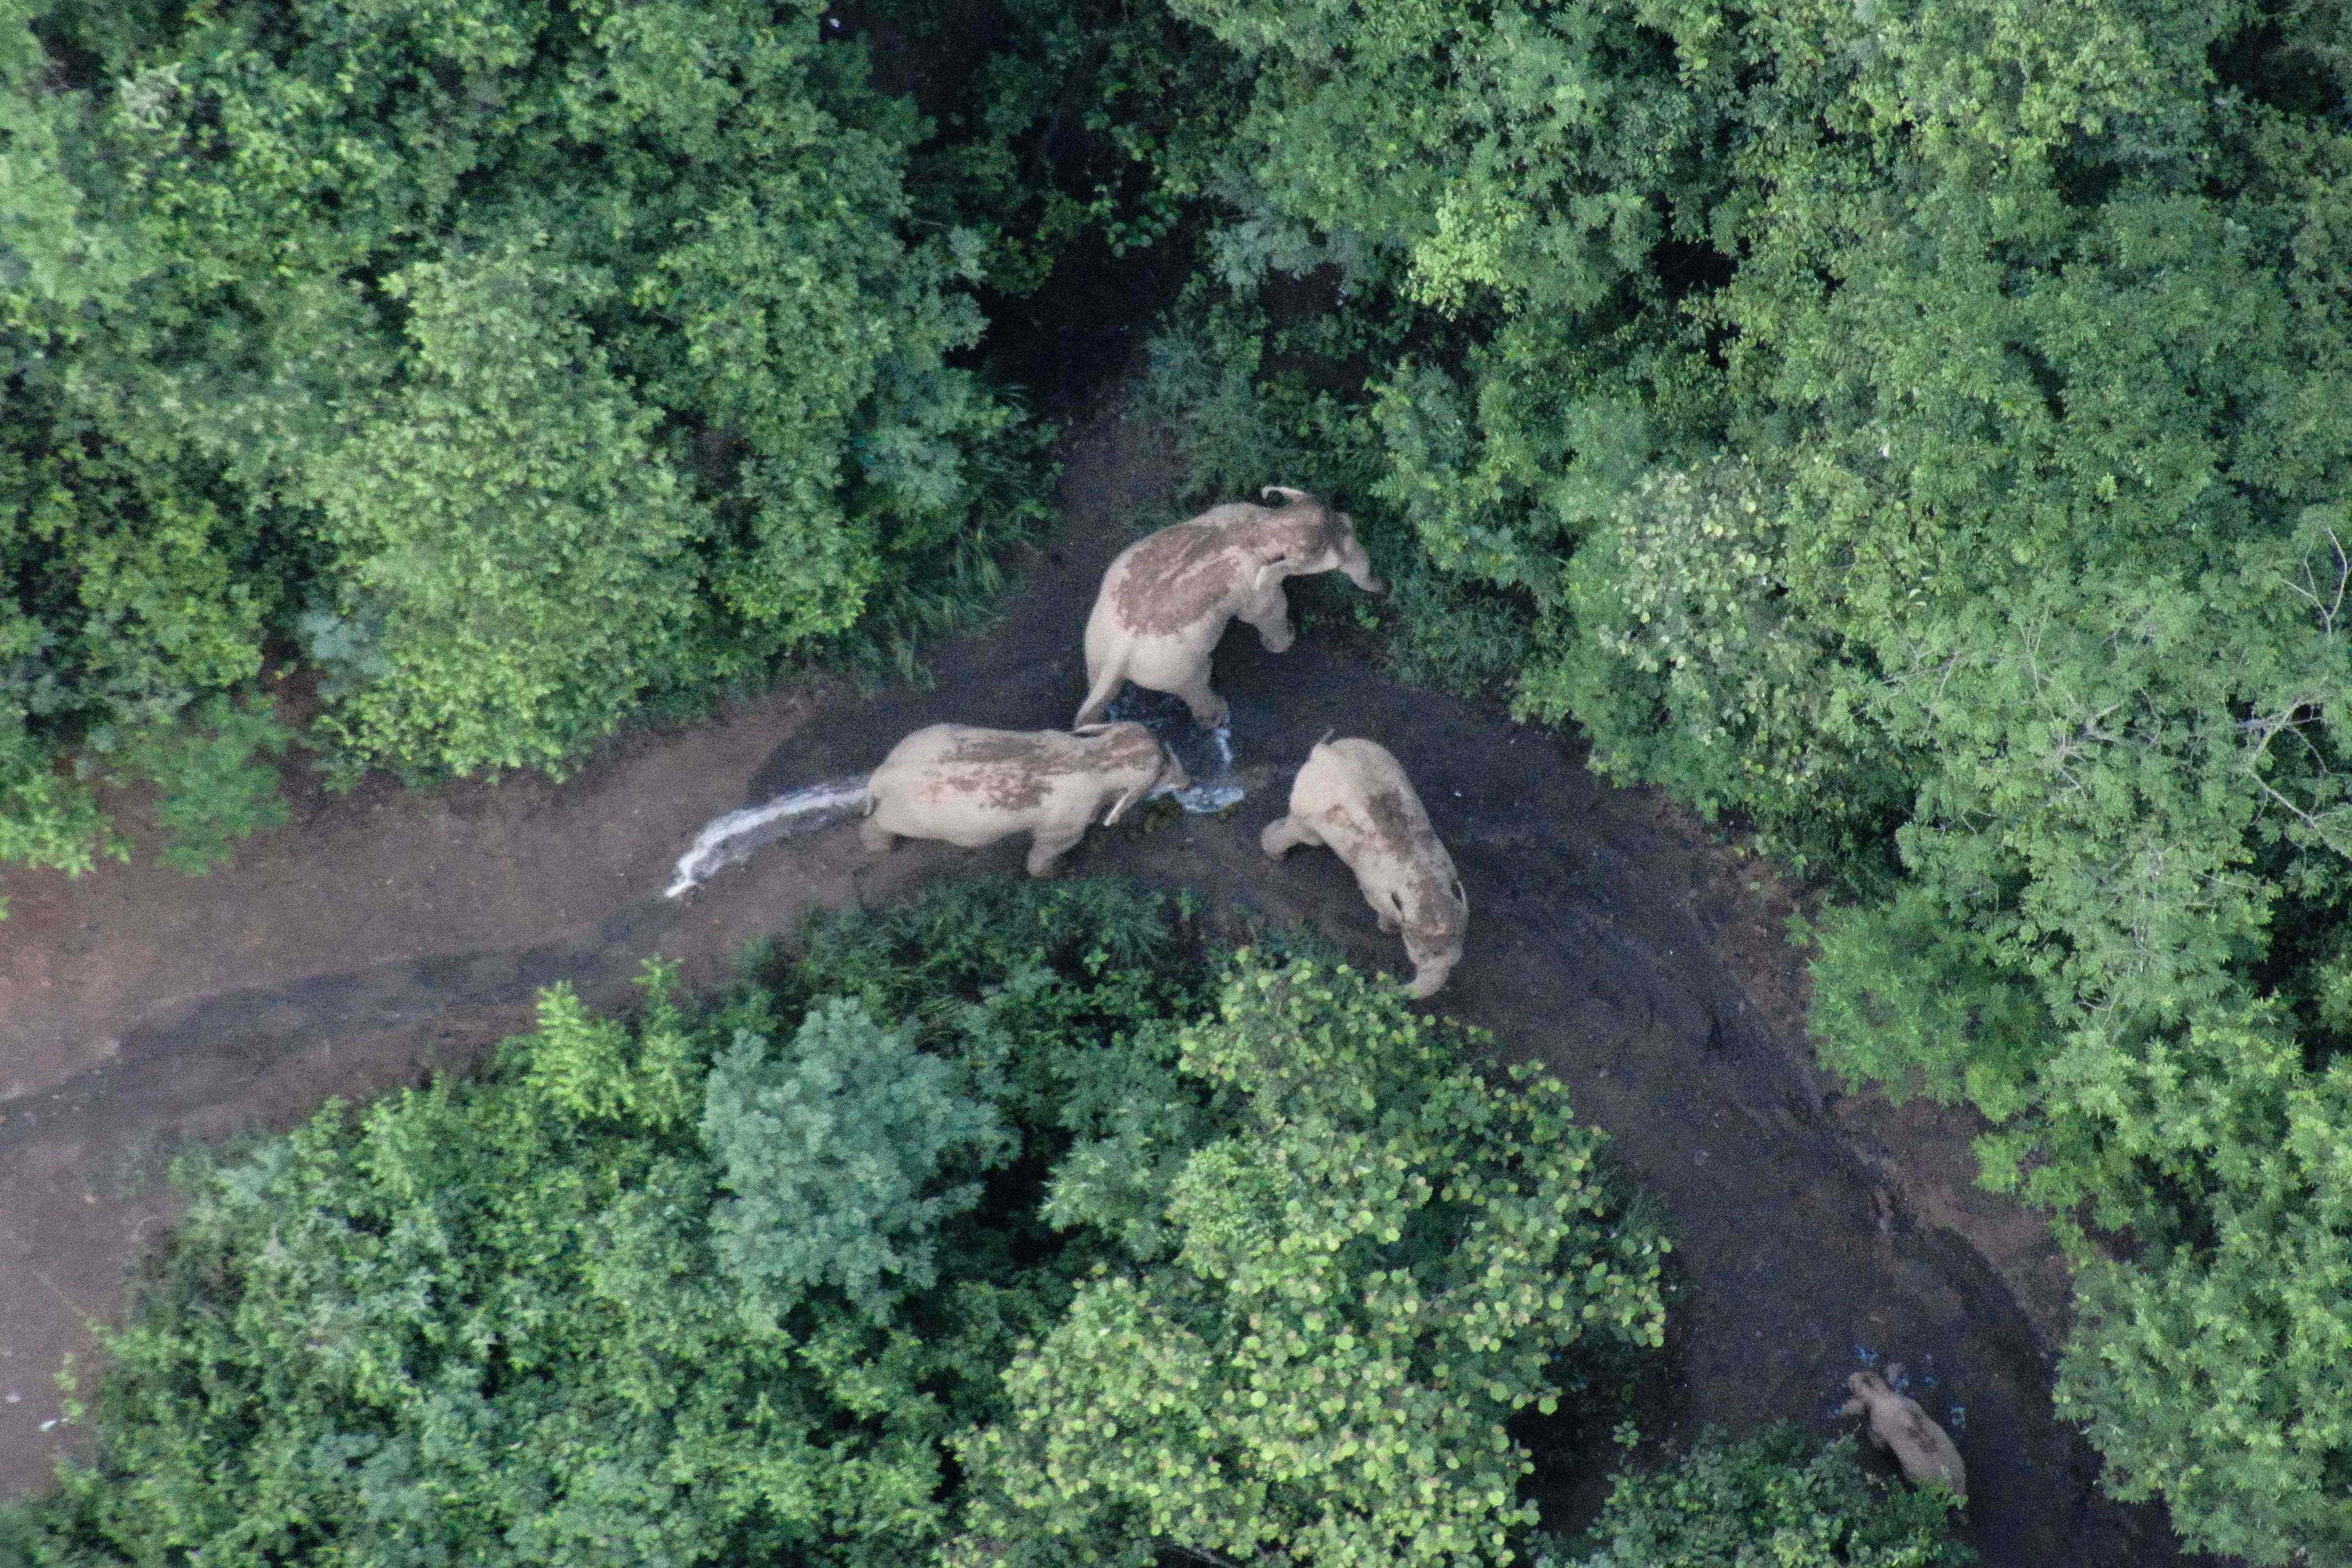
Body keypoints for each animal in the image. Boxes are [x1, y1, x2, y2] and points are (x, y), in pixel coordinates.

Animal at [860, 722, 1188, 877]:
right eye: (1160, 773)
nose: (1191, 782)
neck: (1099, 756)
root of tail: (882, 773)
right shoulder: (1069, 816)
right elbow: (1052, 845)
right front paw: (1056, 872)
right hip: (914, 814)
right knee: (884, 823)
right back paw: (879, 847)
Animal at [1074, 486, 1385, 730]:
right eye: (1335, 561)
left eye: (1349, 523)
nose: (1385, 589)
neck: (1265, 526)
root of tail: (1119, 654)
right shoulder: (1253, 585)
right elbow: (1268, 609)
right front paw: (1285, 643)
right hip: (1172, 667)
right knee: (1196, 681)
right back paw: (1218, 716)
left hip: (1096, 636)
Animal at [1258, 735, 1467, 998]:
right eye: (1421, 957)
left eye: (1457, 959)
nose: (1381, 981)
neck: (1425, 879)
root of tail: (1324, 751)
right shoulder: (1375, 883)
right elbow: (1378, 903)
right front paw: (1388, 928)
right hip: (1310, 805)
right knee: (1305, 834)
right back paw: (1276, 854)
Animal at [1841, 1367, 1967, 1502]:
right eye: (1869, 1373)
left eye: (1854, 1386)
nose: (1852, 1376)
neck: (1881, 1396)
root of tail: (1955, 1484)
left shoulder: (1877, 1430)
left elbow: (1878, 1442)